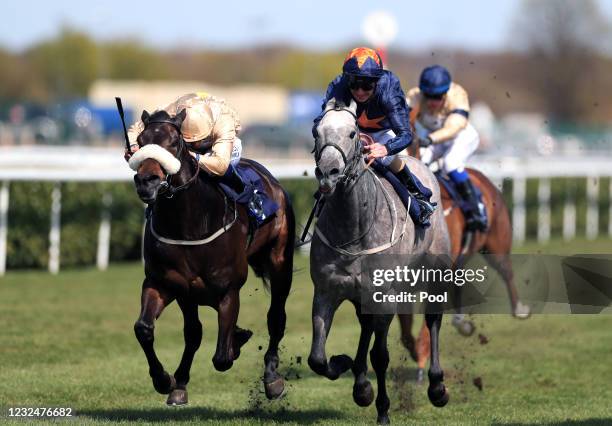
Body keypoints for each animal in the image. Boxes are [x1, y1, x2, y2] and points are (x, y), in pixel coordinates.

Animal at [129, 109, 294, 406]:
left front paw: (235, 343)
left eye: (174, 142)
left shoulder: (229, 289)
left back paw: (272, 378)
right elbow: (146, 329)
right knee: (193, 332)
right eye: (140, 141)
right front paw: (167, 381)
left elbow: (222, 357)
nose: (146, 181)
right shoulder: (167, 284)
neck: (189, 223)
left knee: (276, 318)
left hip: (280, 265)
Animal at [308, 99, 452, 422]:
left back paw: (437, 387)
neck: (354, 227)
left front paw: (383, 410)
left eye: (352, 133)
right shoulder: (326, 291)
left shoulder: (385, 297)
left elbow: (381, 355)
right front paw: (345, 366)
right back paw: (361, 384)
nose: (328, 172)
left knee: (433, 320)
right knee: (365, 326)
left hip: (436, 271)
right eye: (316, 132)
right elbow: (317, 358)